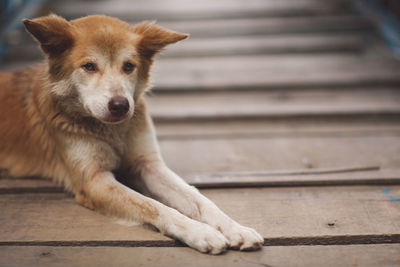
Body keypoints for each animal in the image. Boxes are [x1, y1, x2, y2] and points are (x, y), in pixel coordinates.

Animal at [0, 14, 264, 255]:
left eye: (128, 66)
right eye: (89, 66)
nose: (120, 105)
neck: (111, 131)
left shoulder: (148, 165)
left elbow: (198, 198)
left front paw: (235, 228)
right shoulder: (94, 181)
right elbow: (153, 206)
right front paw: (200, 231)